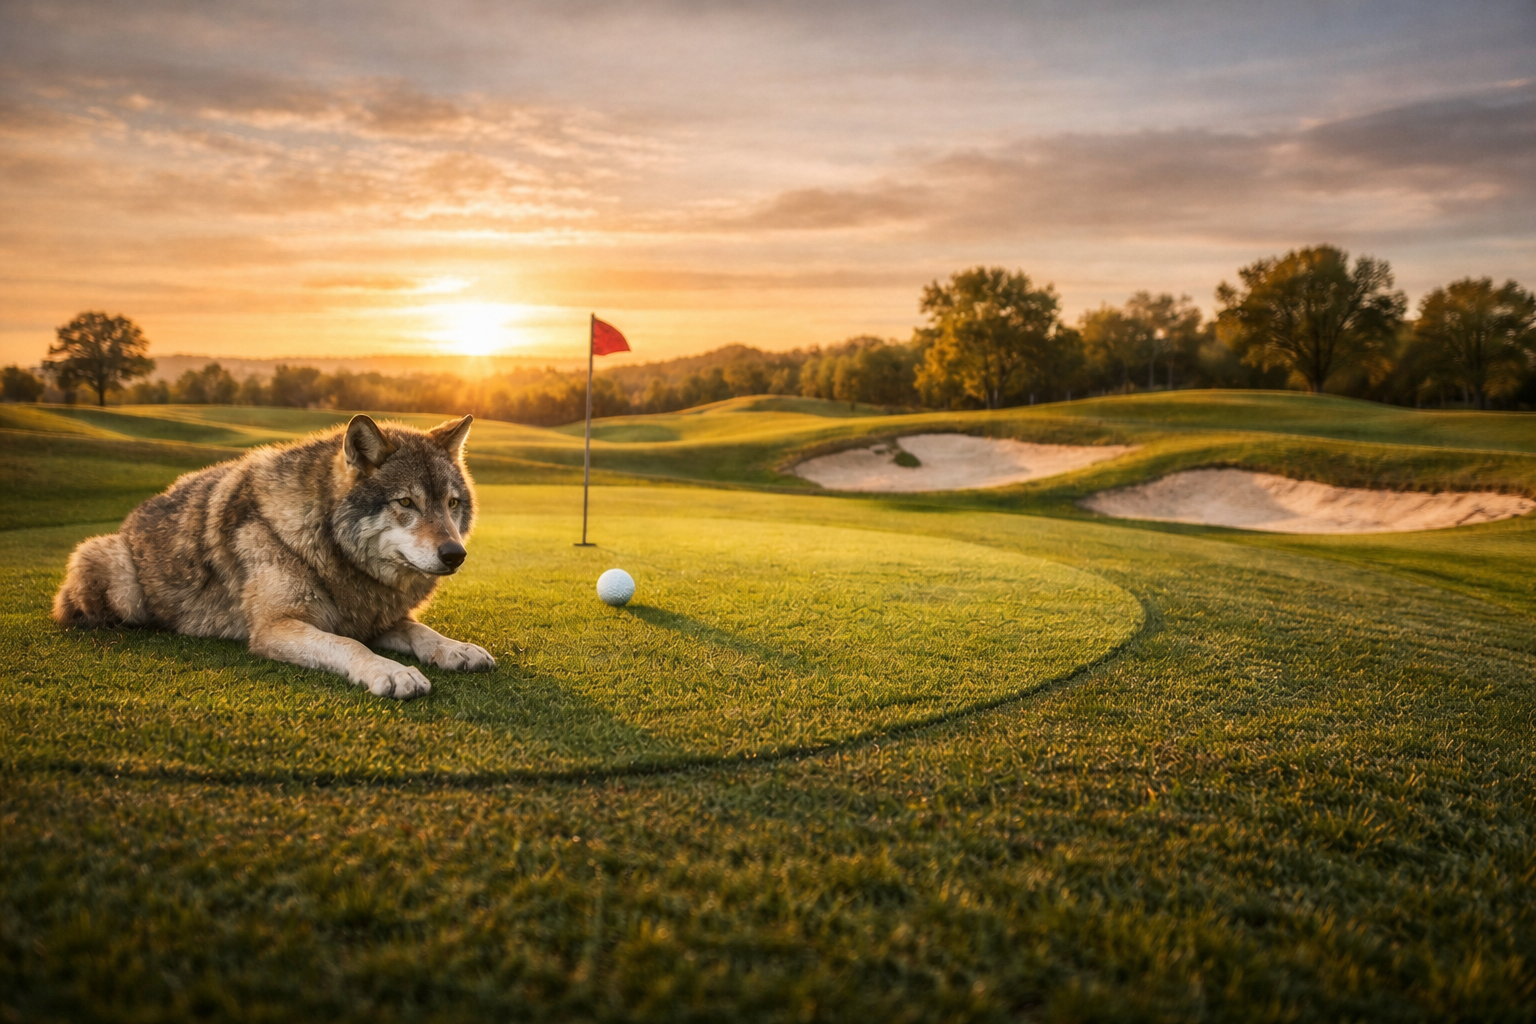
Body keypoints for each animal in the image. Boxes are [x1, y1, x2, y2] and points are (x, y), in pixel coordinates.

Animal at [52, 414, 495, 699]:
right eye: (406, 502)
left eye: (451, 503)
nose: (455, 554)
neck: (330, 548)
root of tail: (134, 515)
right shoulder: (277, 627)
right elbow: (350, 647)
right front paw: (391, 670)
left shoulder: (373, 619)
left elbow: (421, 631)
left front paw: (456, 648)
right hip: (116, 576)